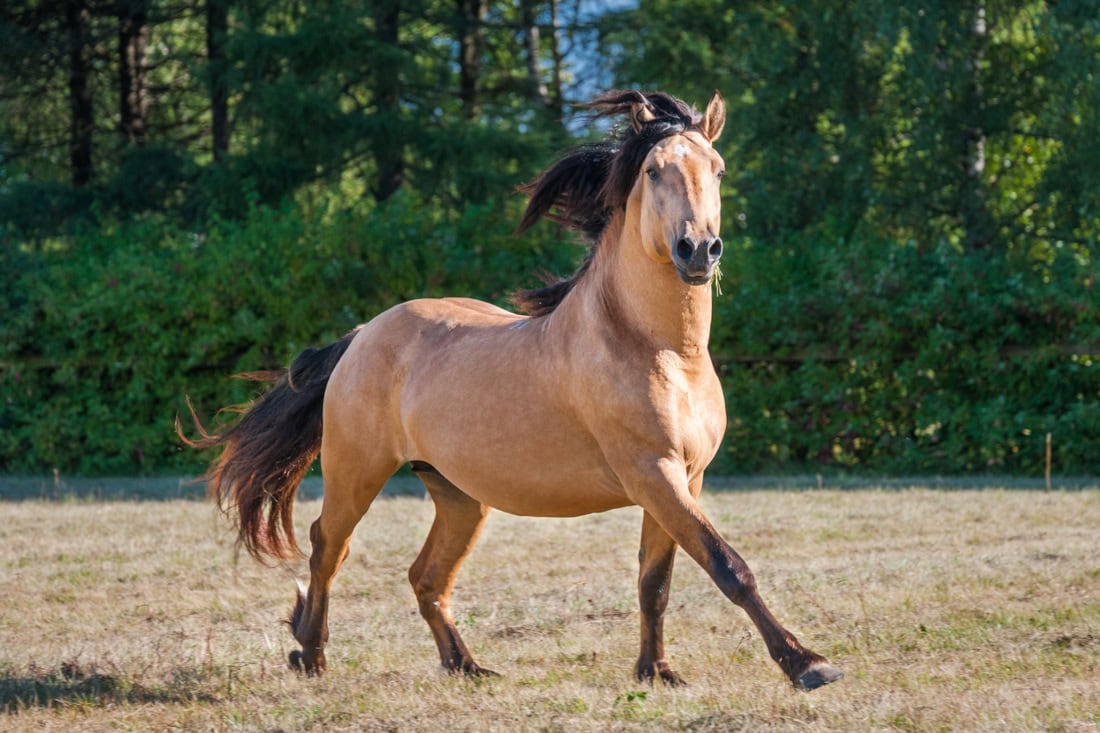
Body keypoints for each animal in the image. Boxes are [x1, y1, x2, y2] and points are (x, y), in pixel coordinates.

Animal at [182, 90, 843, 691]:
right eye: (653, 170)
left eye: (718, 169)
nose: (698, 250)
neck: (659, 352)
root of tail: (363, 335)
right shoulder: (654, 475)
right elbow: (728, 567)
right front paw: (807, 664)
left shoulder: (686, 479)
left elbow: (656, 581)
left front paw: (656, 671)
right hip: (357, 472)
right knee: (329, 549)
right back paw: (312, 654)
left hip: (458, 496)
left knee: (426, 576)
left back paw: (465, 666)